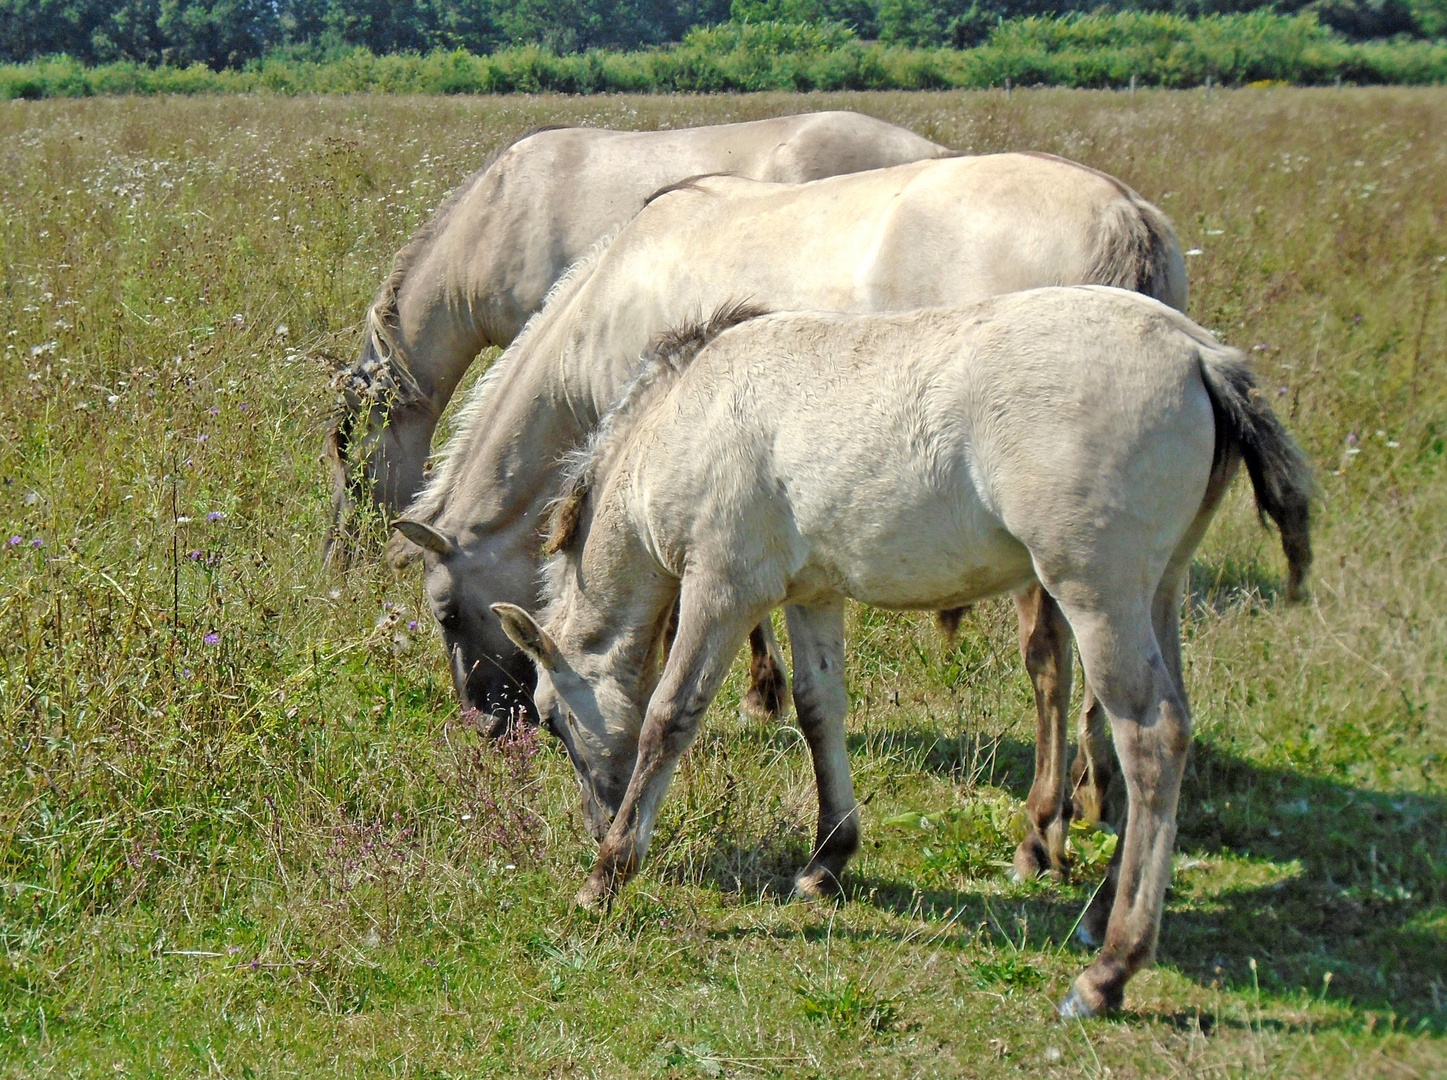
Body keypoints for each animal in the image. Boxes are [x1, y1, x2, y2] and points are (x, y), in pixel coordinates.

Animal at [491, 286, 1319, 1019]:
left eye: (551, 717)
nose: (598, 820)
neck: (683, 418)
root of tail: (1196, 352)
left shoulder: (722, 588)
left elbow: (670, 718)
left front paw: (607, 874)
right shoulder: (811, 593)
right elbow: (819, 708)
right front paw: (827, 858)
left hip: (1096, 592)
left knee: (1149, 737)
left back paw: (1108, 970)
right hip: (1159, 588)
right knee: (1168, 731)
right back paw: (1095, 913)